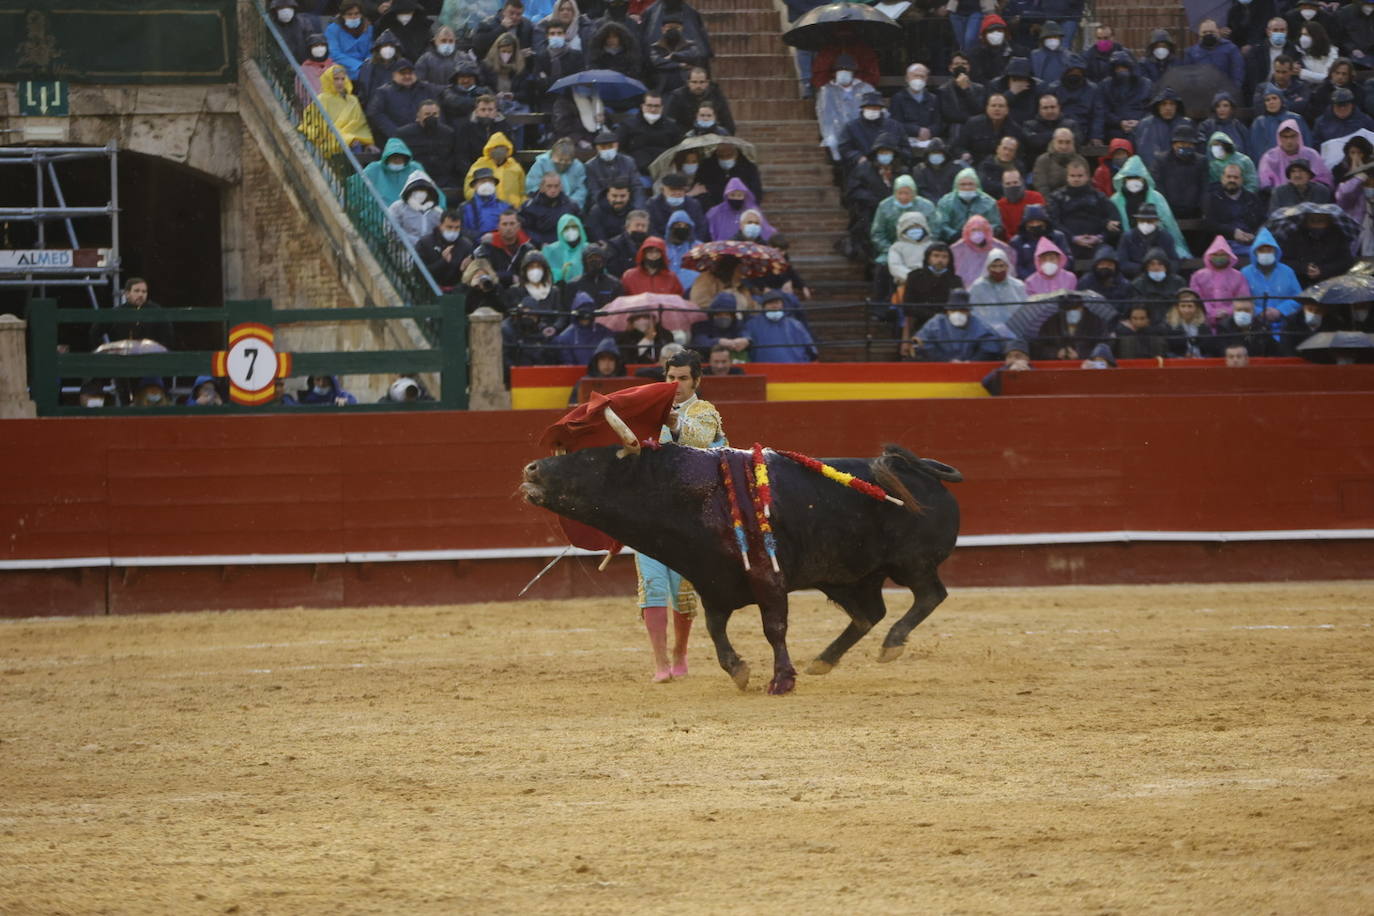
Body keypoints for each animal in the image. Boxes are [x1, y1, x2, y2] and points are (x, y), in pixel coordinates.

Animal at [519, 444, 961, 694]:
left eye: (586, 458)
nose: (531, 469)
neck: (687, 493)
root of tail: (918, 469)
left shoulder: (769, 579)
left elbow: (774, 628)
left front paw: (781, 680)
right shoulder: (712, 584)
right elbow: (715, 630)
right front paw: (739, 671)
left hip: (909, 563)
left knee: (929, 595)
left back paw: (892, 643)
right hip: (847, 576)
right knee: (870, 613)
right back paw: (825, 659)